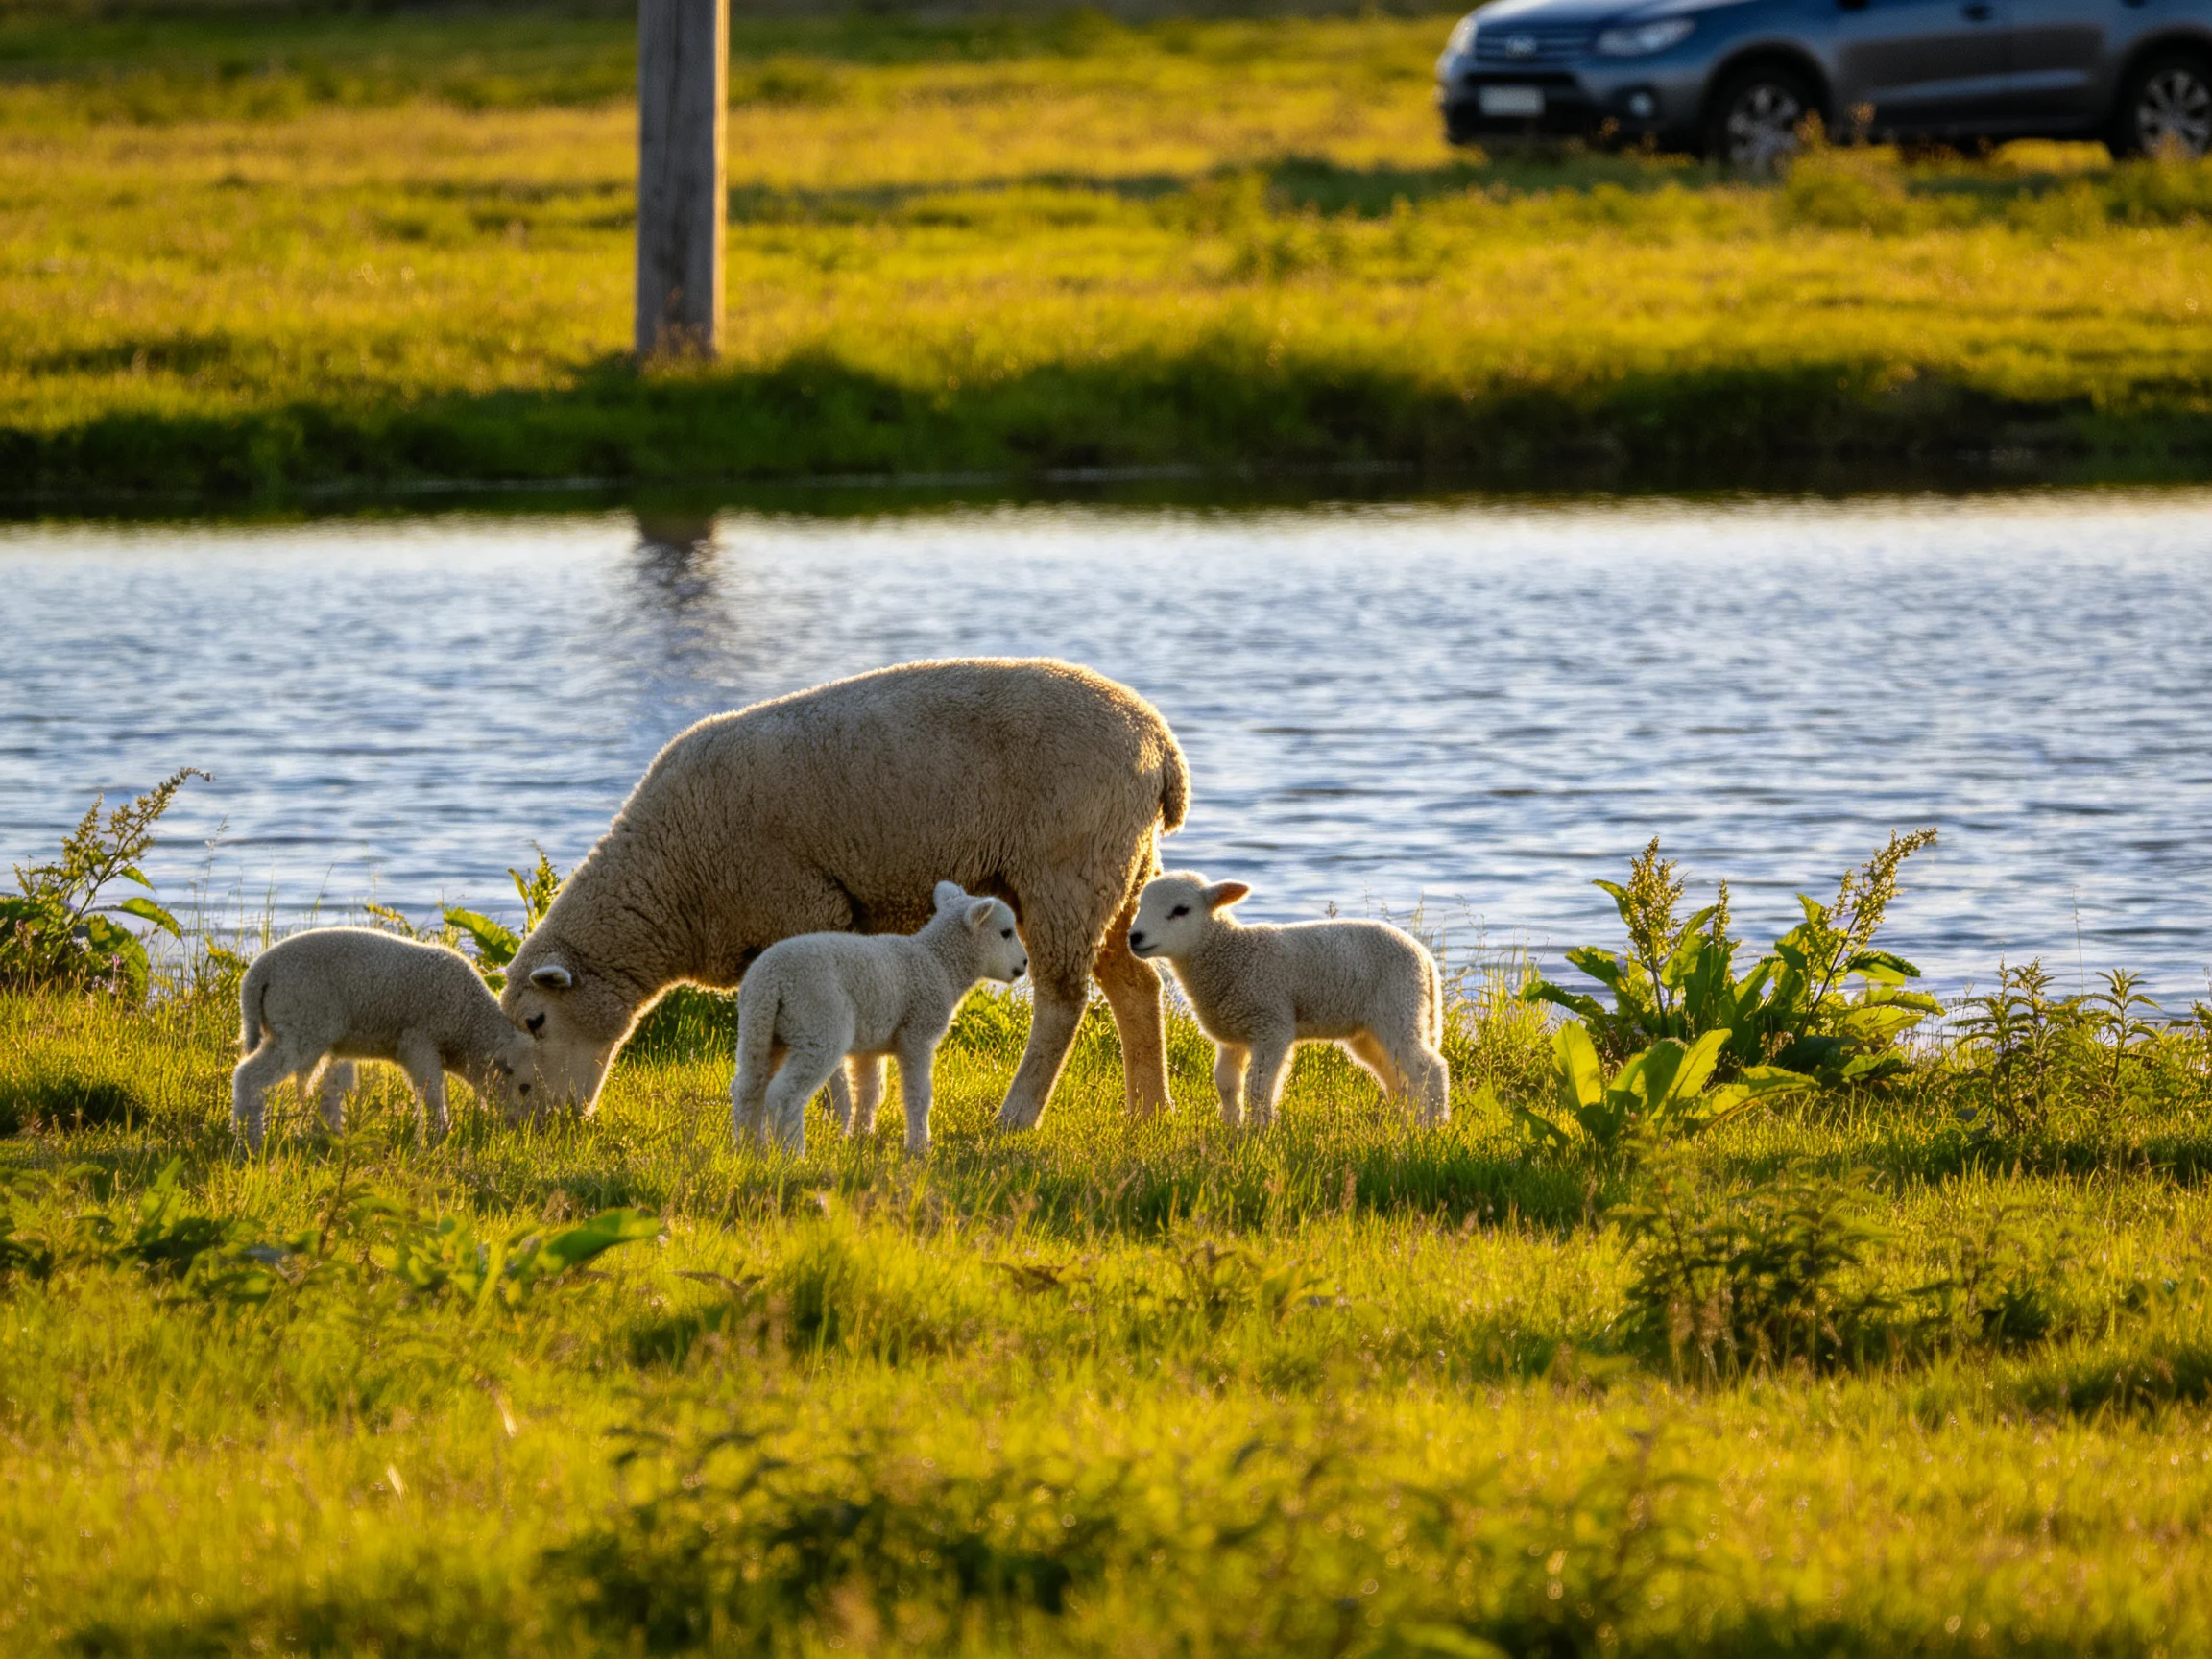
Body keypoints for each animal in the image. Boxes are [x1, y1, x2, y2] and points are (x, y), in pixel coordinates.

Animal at [231, 927, 539, 1150]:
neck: (471, 1027)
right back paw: (249, 1139)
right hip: (300, 1026)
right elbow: (430, 1093)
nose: (523, 1130)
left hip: (289, 1027)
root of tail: (256, 976)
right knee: (249, 1076)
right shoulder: (418, 1042)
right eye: (524, 1087)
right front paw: (434, 1138)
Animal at [731, 881, 1029, 1157]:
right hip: (818, 1021)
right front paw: (919, 1147)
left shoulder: (870, 1045)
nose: (1025, 964)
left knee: (747, 1087)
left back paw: (750, 1149)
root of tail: (772, 978)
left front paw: (861, 1136)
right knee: (785, 1094)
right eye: (1005, 933)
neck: (940, 963)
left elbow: (870, 1091)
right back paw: (792, 1154)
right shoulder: (917, 1032)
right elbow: (918, 1095)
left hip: (760, 1026)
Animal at [1127, 872, 1449, 1131]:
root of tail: (1425, 958)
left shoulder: (1271, 1026)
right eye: (1140, 905)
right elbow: (1227, 1084)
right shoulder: (1232, 1037)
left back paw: (1433, 1124)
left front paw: (1260, 1129)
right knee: (1396, 1075)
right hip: (1371, 1028)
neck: (1230, 955)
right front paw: (1230, 1125)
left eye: (1181, 910)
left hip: (1399, 1008)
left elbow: (1258, 1087)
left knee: (1429, 1068)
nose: (1135, 937)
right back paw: (1403, 1120)